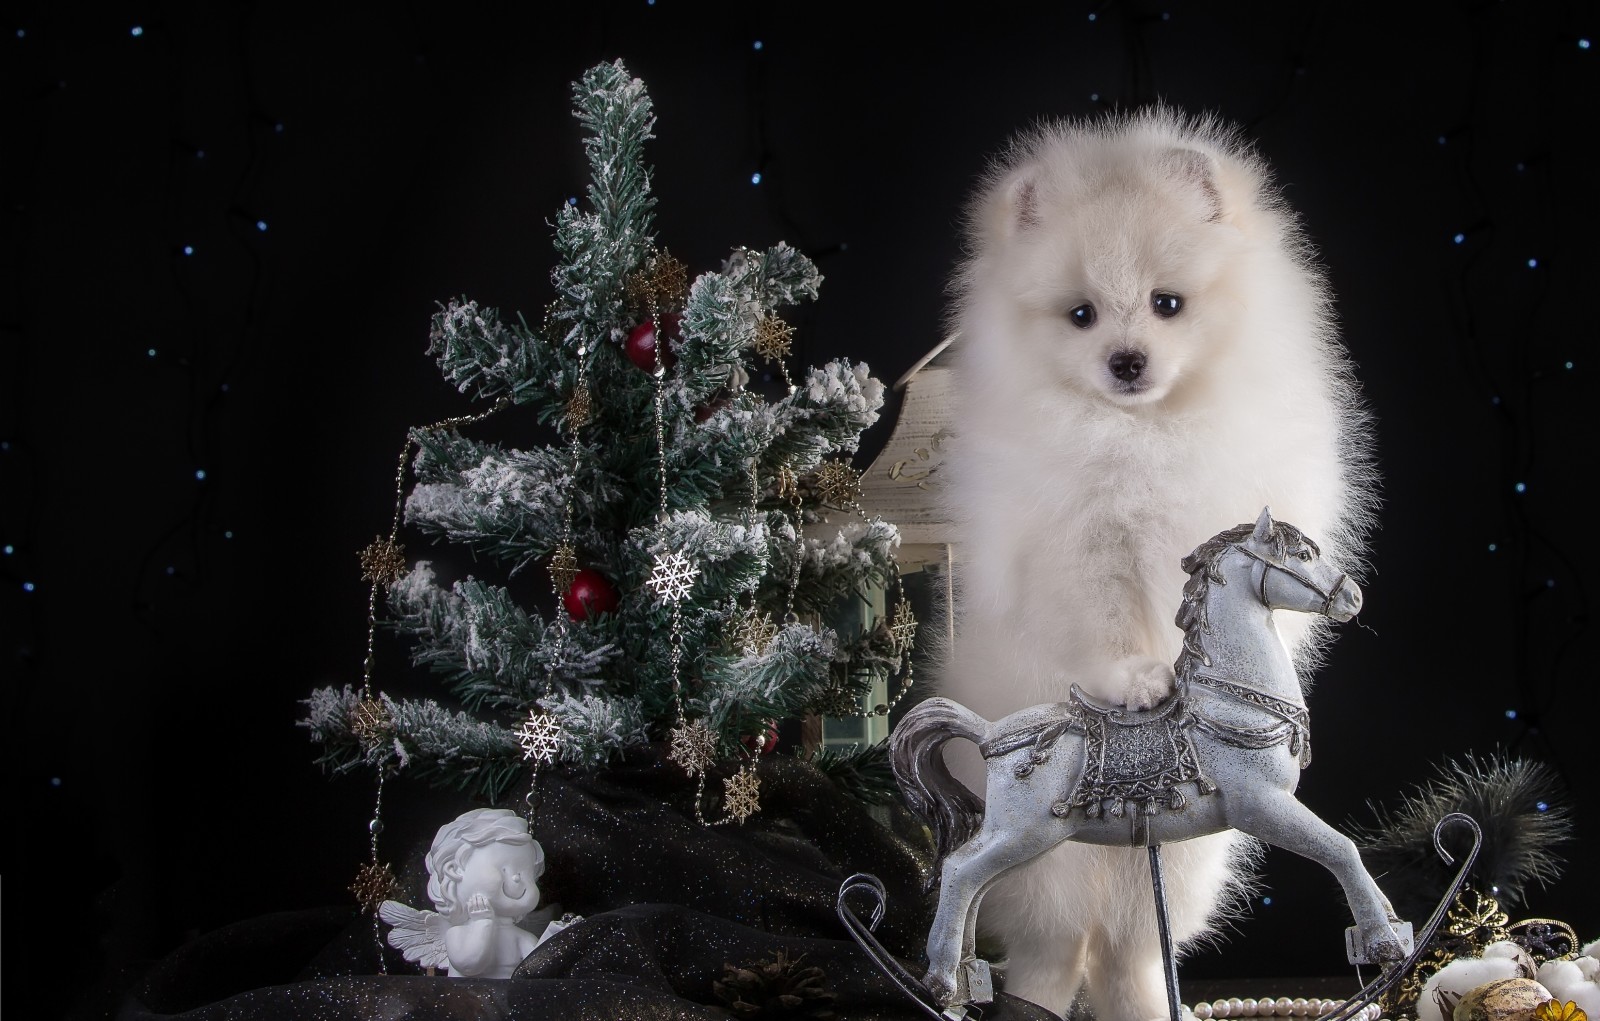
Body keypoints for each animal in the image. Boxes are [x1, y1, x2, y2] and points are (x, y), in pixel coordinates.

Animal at [934, 105, 1382, 1021]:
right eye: (1080, 315)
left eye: (1166, 304)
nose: (1127, 359)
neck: (1141, 431)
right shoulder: (1076, 543)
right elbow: (1106, 619)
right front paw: (1140, 682)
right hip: (1047, 848)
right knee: (1051, 941)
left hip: (1184, 850)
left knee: (1131, 946)